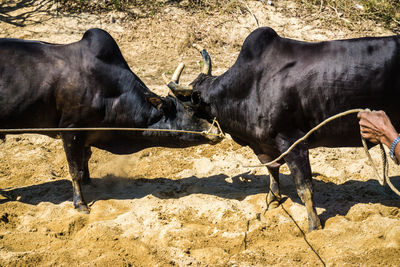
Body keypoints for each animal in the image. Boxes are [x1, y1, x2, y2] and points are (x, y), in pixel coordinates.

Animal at [0, 28, 222, 214]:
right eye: (189, 109)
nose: (216, 131)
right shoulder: (70, 131)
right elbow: (74, 169)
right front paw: (80, 203)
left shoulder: (87, 135)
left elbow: (85, 161)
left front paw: (89, 182)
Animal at [164, 26, 400, 232]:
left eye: (183, 104)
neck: (250, 85)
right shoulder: (266, 146)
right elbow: (272, 171)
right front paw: (272, 201)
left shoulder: (293, 142)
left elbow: (304, 188)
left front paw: (314, 226)